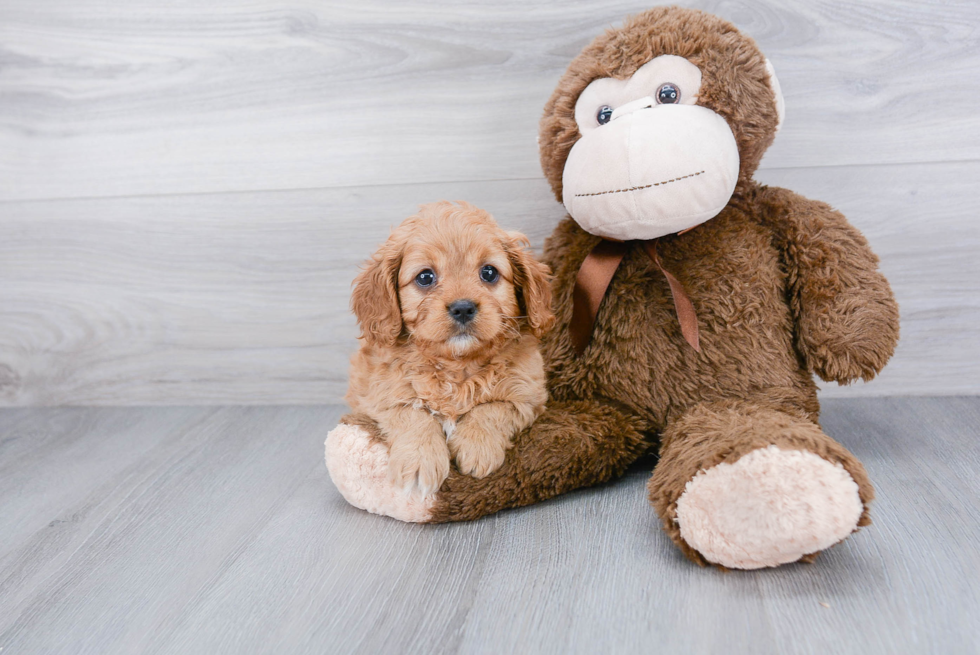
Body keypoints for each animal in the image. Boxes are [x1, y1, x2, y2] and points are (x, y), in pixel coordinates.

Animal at [346, 202, 556, 494]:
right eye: (425, 277)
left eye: (489, 272)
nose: (463, 308)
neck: (457, 365)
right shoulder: (378, 396)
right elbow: (412, 413)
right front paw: (419, 461)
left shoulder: (527, 396)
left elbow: (492, 408)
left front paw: (477, 447)